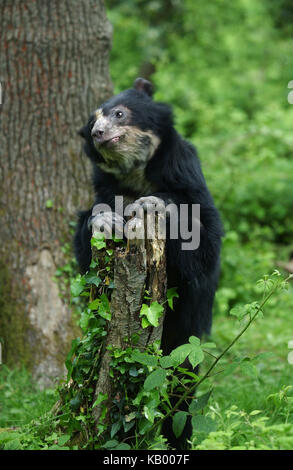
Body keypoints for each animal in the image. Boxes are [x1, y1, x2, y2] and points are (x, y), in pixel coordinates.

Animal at [73, 78, 221, 448]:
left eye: (118, 113)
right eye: (92, 122)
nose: (97, 133)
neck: (137, 175)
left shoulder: (186, 177)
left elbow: (204, 242)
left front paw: (153, 204)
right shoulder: (104, 189)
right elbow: (85, 237)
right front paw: (107, 220)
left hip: (187, 333)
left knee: (181, 385)